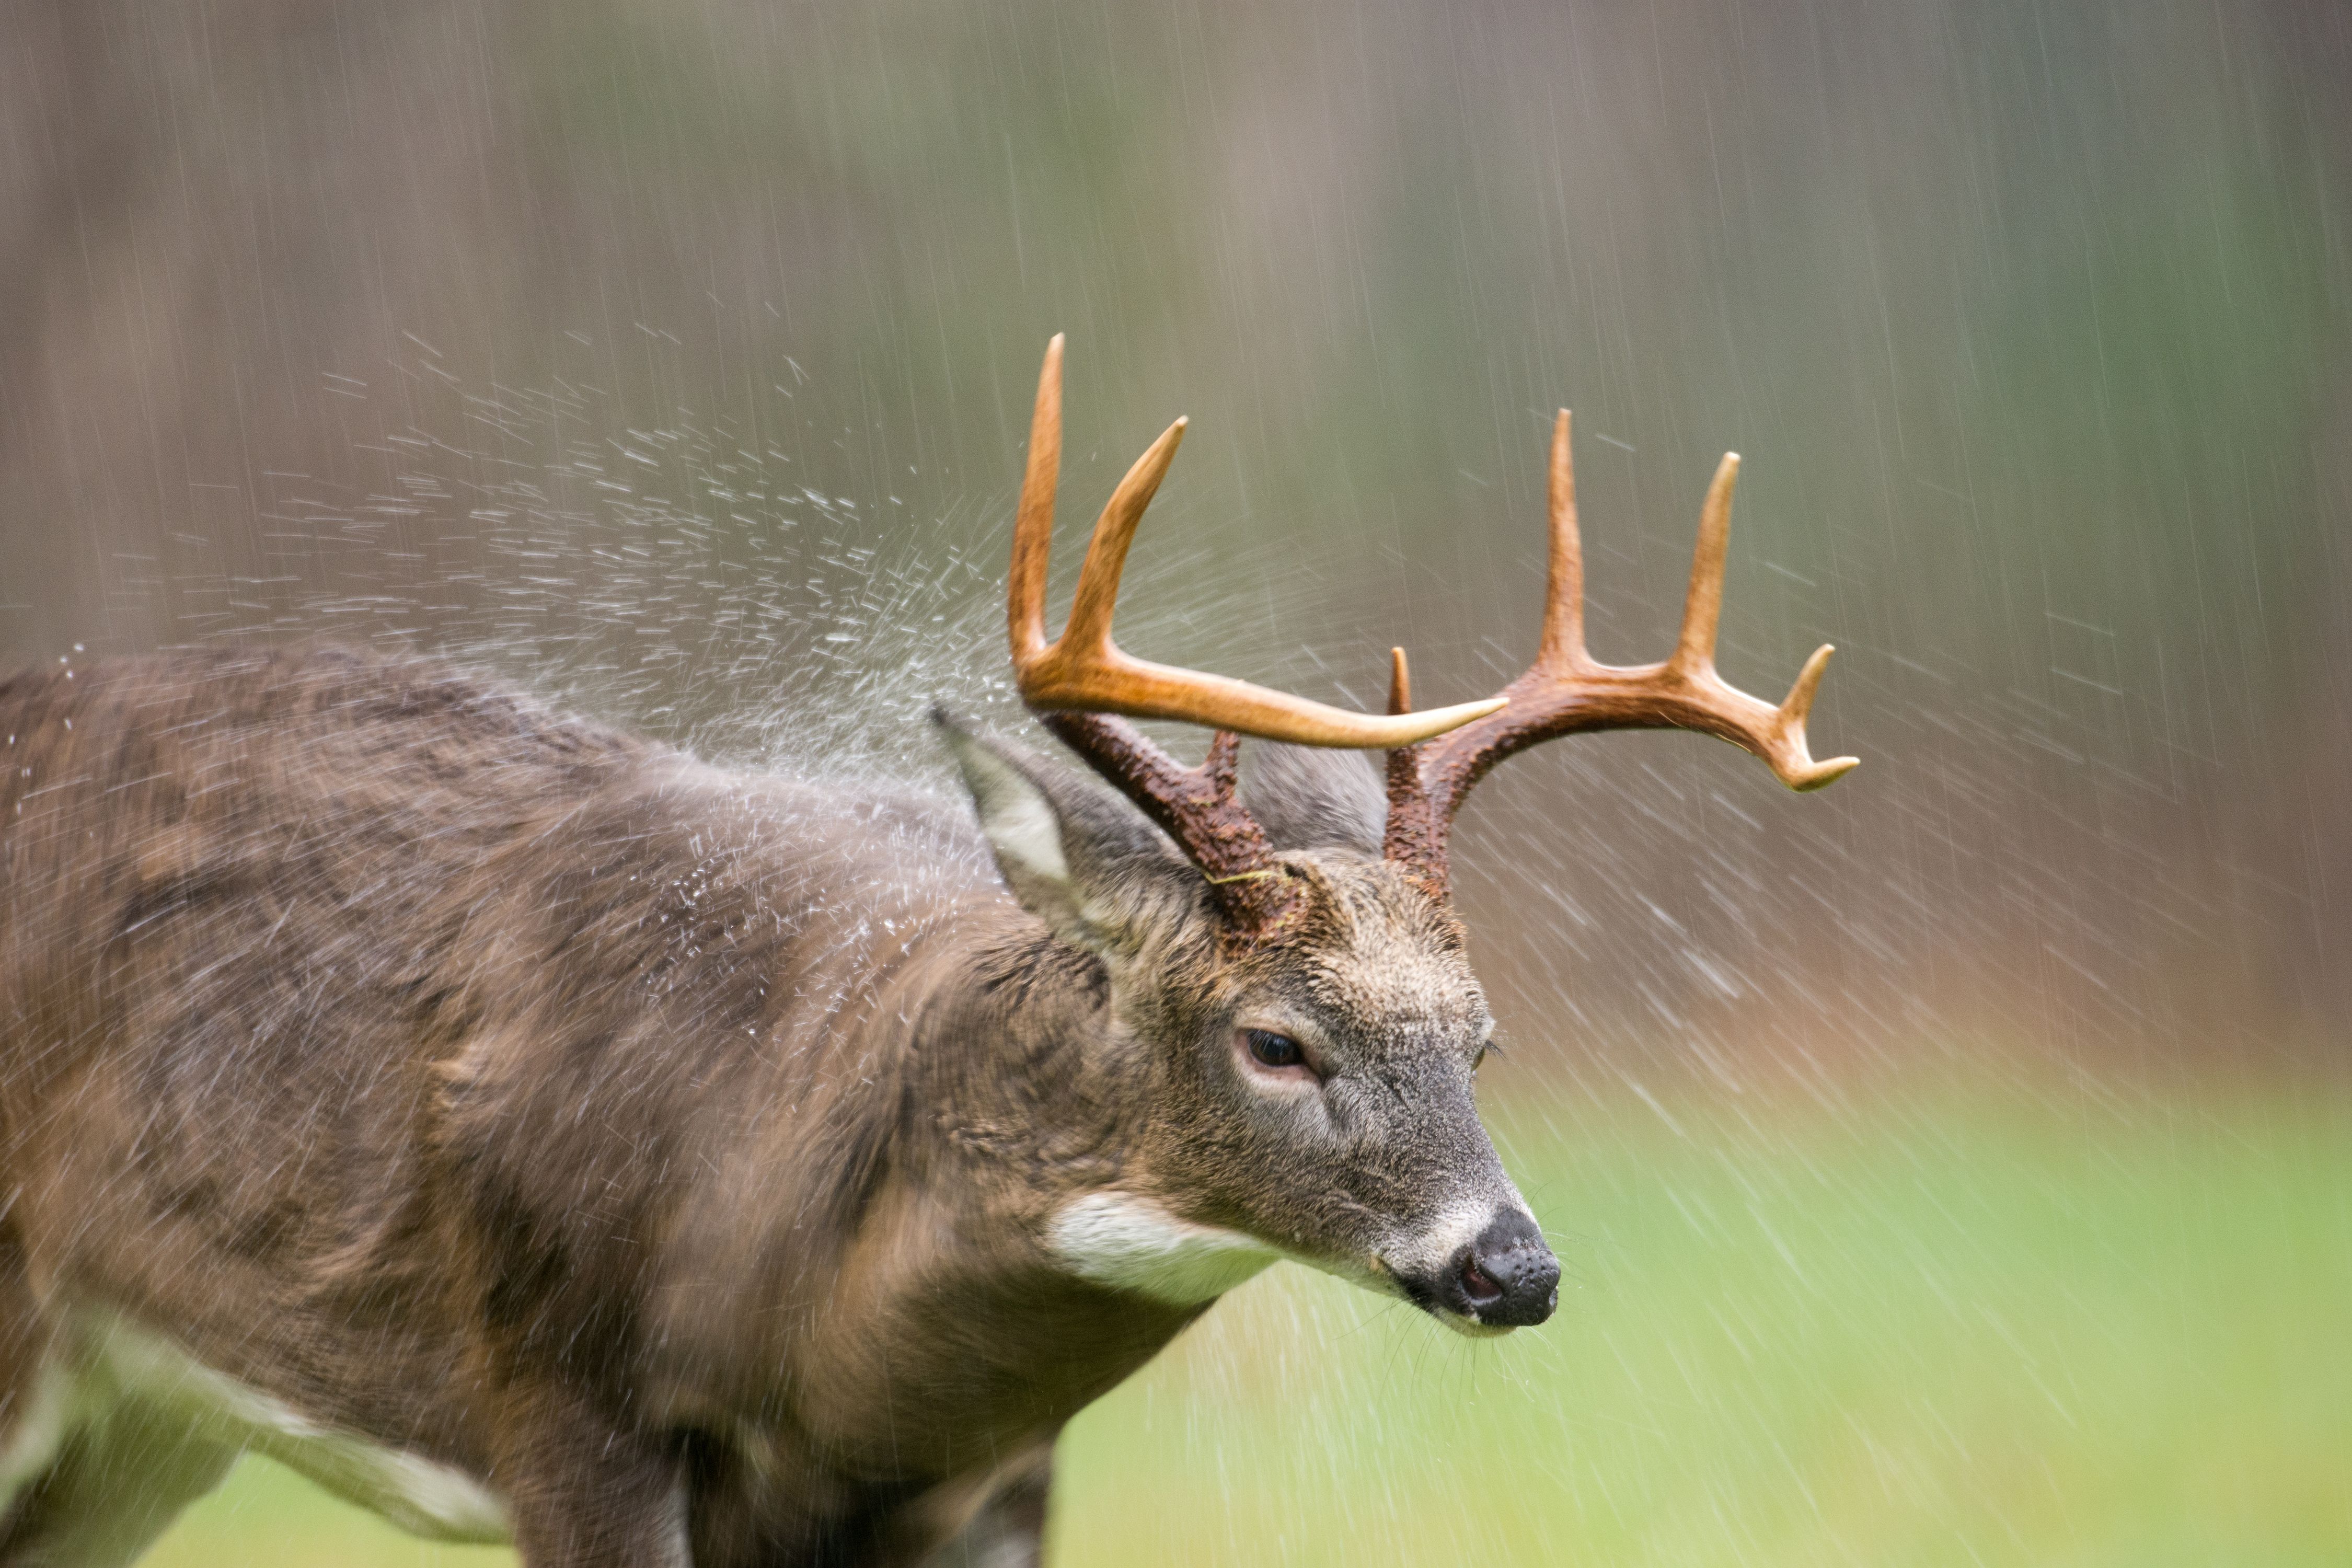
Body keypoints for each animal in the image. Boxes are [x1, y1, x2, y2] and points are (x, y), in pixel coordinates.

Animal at [0, 338, 1853, 1561]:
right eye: (1275, 1039)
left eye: (1482, 1039)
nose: (1510, 1270)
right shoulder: (565, 1411)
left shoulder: (995, 1485)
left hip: (144, 1425)